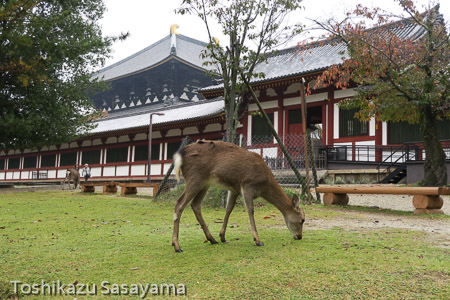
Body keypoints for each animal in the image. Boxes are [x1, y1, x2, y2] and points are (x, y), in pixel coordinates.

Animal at [172, 139, 306, 252]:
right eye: (302, 219)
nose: (299, 236)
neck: (264, 185)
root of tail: (179, 154)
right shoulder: (247, 184)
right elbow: (250, 210)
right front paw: (257, 240)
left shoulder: (235, 189)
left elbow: (229, 209)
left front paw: (222, 236)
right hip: (195, 178)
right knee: (179, 203)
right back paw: (177, 245)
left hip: (205, 183)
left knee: (195, 205)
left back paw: (212, 239)